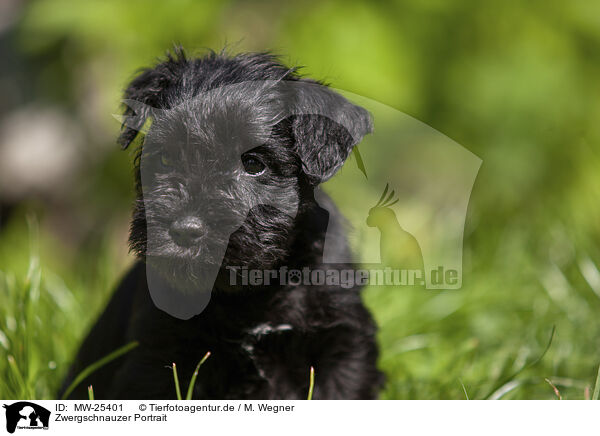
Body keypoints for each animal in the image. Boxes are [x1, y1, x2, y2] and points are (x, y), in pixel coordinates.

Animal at [62, 47, 384, 398]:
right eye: (165, 158)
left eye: (254, 163)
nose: (185, 230)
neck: (252, 293)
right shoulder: (157, 356)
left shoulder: (343, 348)